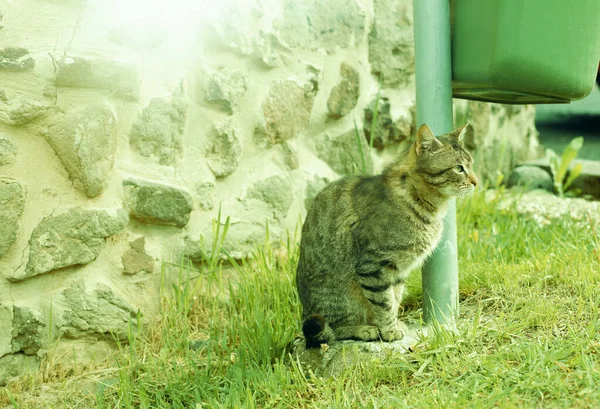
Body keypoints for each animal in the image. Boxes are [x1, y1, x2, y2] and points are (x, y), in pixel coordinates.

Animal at [296, 122, 478, 346]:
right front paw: (389, 330)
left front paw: (391, 325)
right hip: (341, 297)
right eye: (459, 168)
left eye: (471, 165)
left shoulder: (397, 271)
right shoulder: (373, 265)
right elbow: (383, 302)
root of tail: (304, 312)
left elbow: (393, 298)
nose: (476, 181)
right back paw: (362, 329)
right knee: (331, 330)